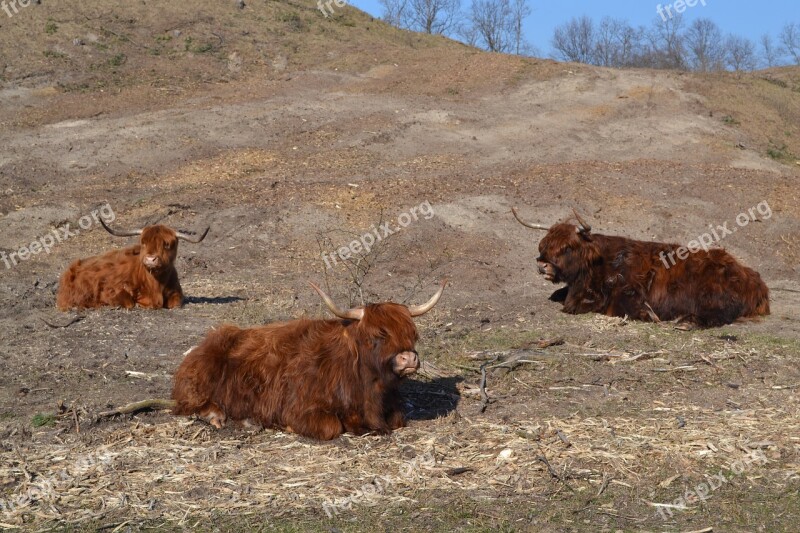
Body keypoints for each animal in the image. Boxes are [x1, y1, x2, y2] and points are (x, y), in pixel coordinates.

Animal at [58, 217, 211, 310]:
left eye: (167, 245)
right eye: (143, 243)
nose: (150, 259)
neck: (156, 284)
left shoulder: (176, 293)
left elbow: (176, 303)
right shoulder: (111, 291)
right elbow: (129, 302)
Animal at [172, 280, 446, 438]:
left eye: (412, 334)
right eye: (376, 335)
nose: (408, 358)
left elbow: (398, 419)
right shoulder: (300, 409)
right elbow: (332, 427)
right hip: (197, 388)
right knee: (191, 406)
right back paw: (216, 416)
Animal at [512, 209, 768, 328]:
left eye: (567, 247)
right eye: (545, 243)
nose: (542, 264)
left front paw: (648, 314)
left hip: (713, 297)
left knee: (718, 316)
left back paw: (685, 322)